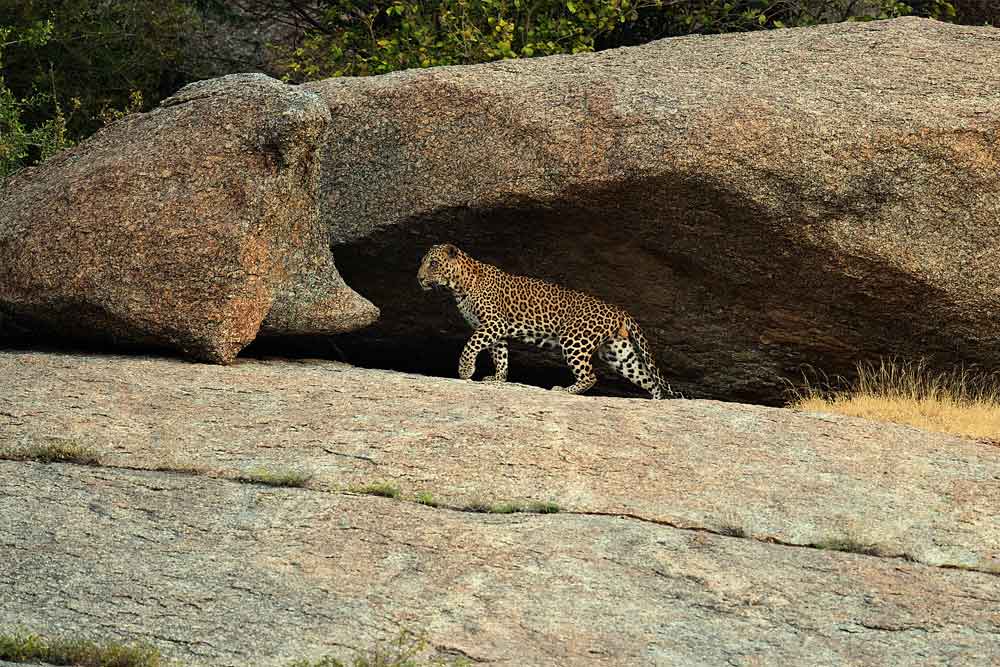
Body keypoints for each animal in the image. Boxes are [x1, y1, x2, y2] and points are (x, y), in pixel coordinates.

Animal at [414, 245, 672, 402]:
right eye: (424, 262)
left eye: (433, 263)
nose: (419, 278)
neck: (459, 286)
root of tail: (619, 310)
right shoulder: (496, 331)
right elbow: (501, 356)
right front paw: (498, 379)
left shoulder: (493, 323)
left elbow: (470, 345)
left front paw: (466, 371)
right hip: (618, 353)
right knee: (649, 379)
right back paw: (657, 403)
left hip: (575, 341)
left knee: (590, 376)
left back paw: (565, 390)